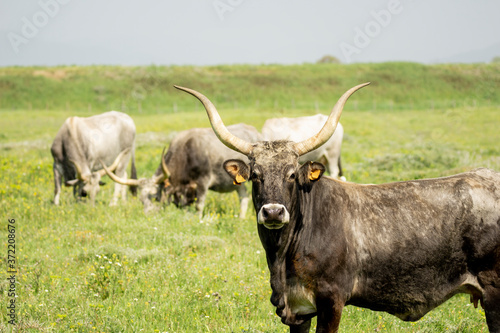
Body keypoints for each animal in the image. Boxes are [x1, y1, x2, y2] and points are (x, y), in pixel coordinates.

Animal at [175, 83, 500, 332]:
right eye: (256, 175)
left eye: (292, 174)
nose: (273, 212)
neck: (283, 256)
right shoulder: (299, 311)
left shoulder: (331, 301)